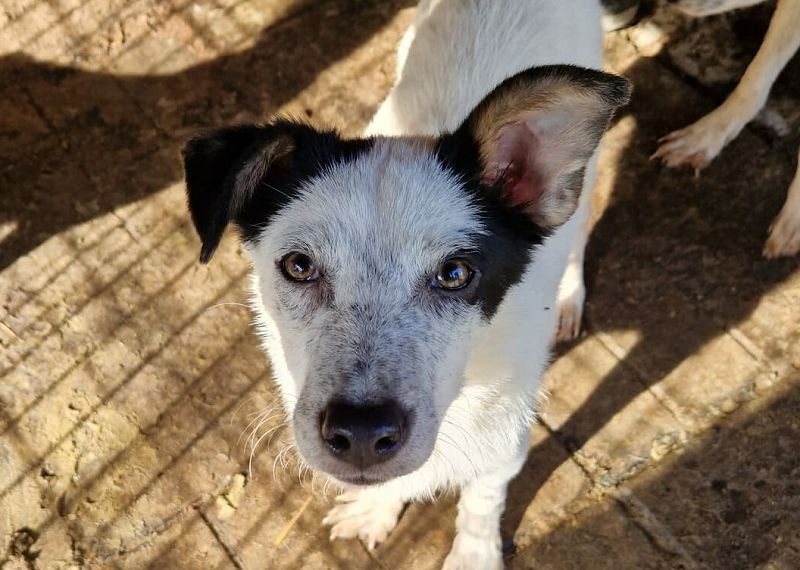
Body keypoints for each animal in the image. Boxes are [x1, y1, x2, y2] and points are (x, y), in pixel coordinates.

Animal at [182, 1, 629, 567]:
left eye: (455, 274)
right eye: (299, 266)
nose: (361, 435)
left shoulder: (505, 444)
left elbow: (482, 504)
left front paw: (474, 554)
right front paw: (378, 510)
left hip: (581, 187)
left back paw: (569, 296)